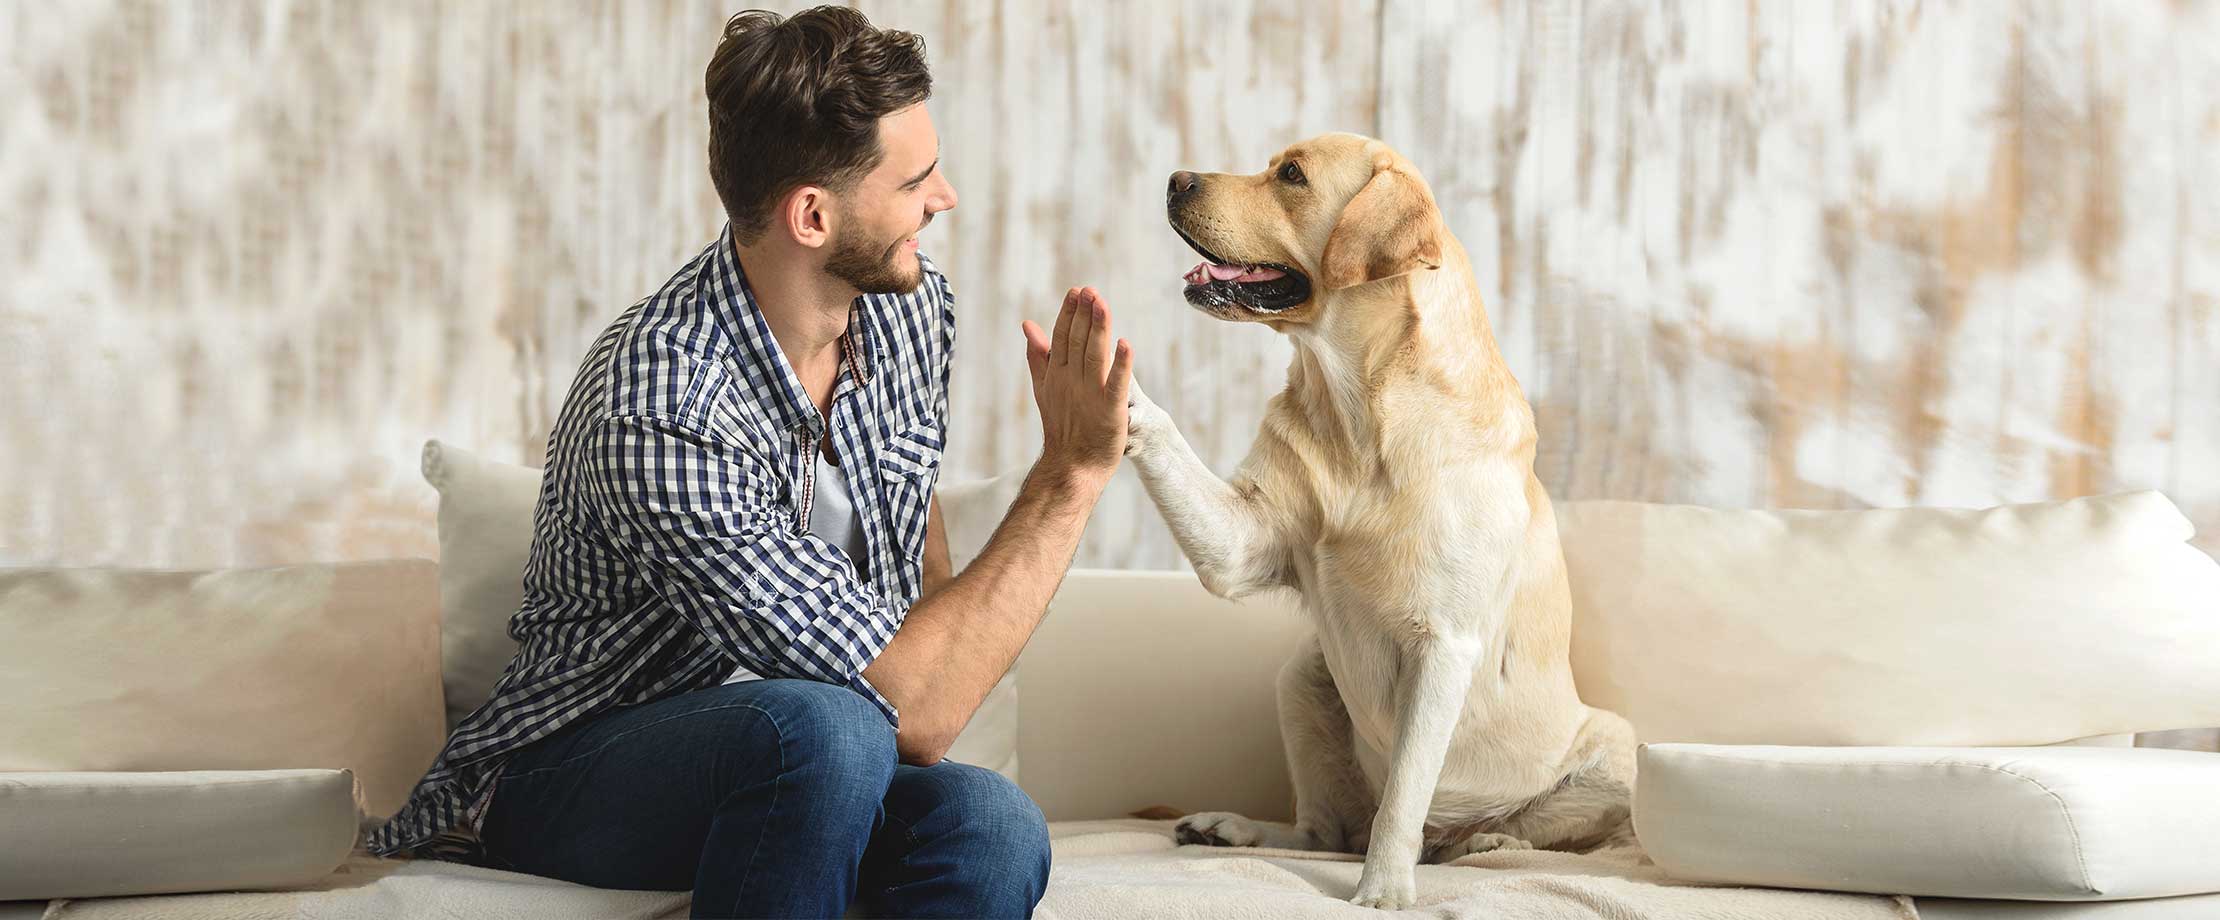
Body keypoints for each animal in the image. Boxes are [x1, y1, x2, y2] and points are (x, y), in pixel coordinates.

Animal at [1127, 132, 1633, 911]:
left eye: (1292, 175)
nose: (1176, 179)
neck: (1359, 410)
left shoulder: (1443, 646)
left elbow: (1405, 795)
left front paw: (1384, 891)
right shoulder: (1240, 543)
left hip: (1616, 746)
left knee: (1512, 832)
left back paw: (1484, 842)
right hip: (1302, 677)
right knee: (1325, 832)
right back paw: (1231, 828)